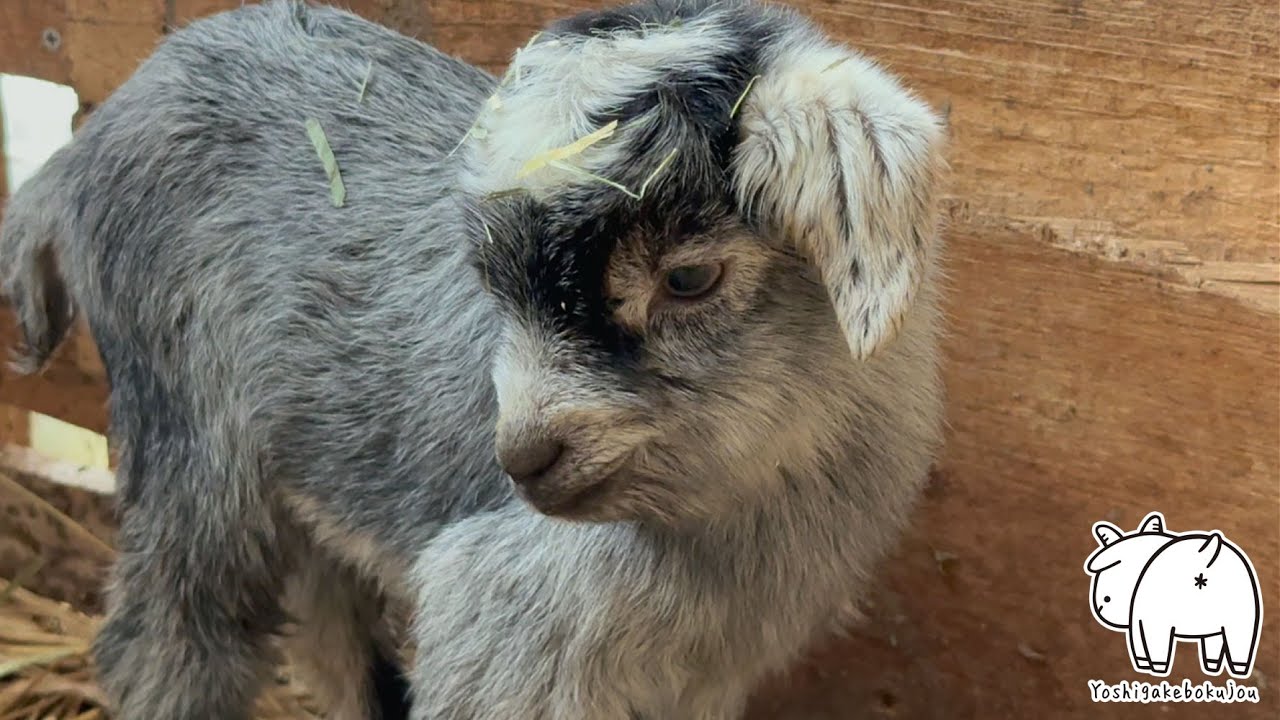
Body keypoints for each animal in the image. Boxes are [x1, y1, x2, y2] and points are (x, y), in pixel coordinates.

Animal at [0, 1, 947, 718]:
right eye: (492, 281)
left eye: (688, 277)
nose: (523, 460)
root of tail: (86, 140)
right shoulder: (502, 622)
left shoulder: (699, 677)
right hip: (187, 437)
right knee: (167, 640)